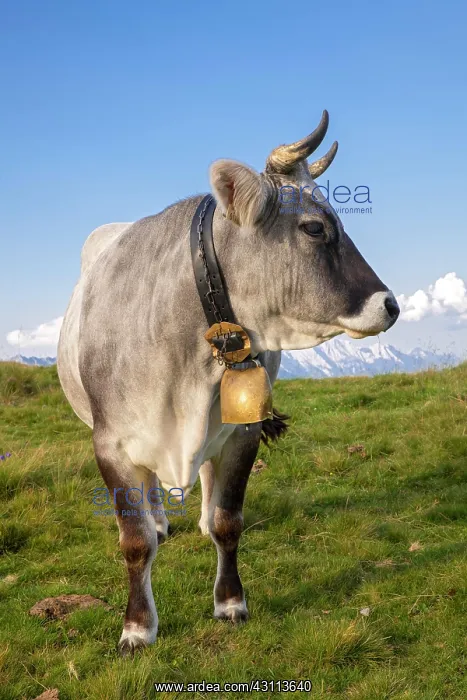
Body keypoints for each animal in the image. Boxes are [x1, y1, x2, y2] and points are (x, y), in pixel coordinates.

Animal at [57, 111, 399, 656]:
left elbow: (228, 520)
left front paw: (230, 602)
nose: (391, 305)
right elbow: (134, 541)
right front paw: (137, 627)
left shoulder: (243, 431)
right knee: (150, 496)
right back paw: (159, 520)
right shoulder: (109, 442)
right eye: (315, 227)